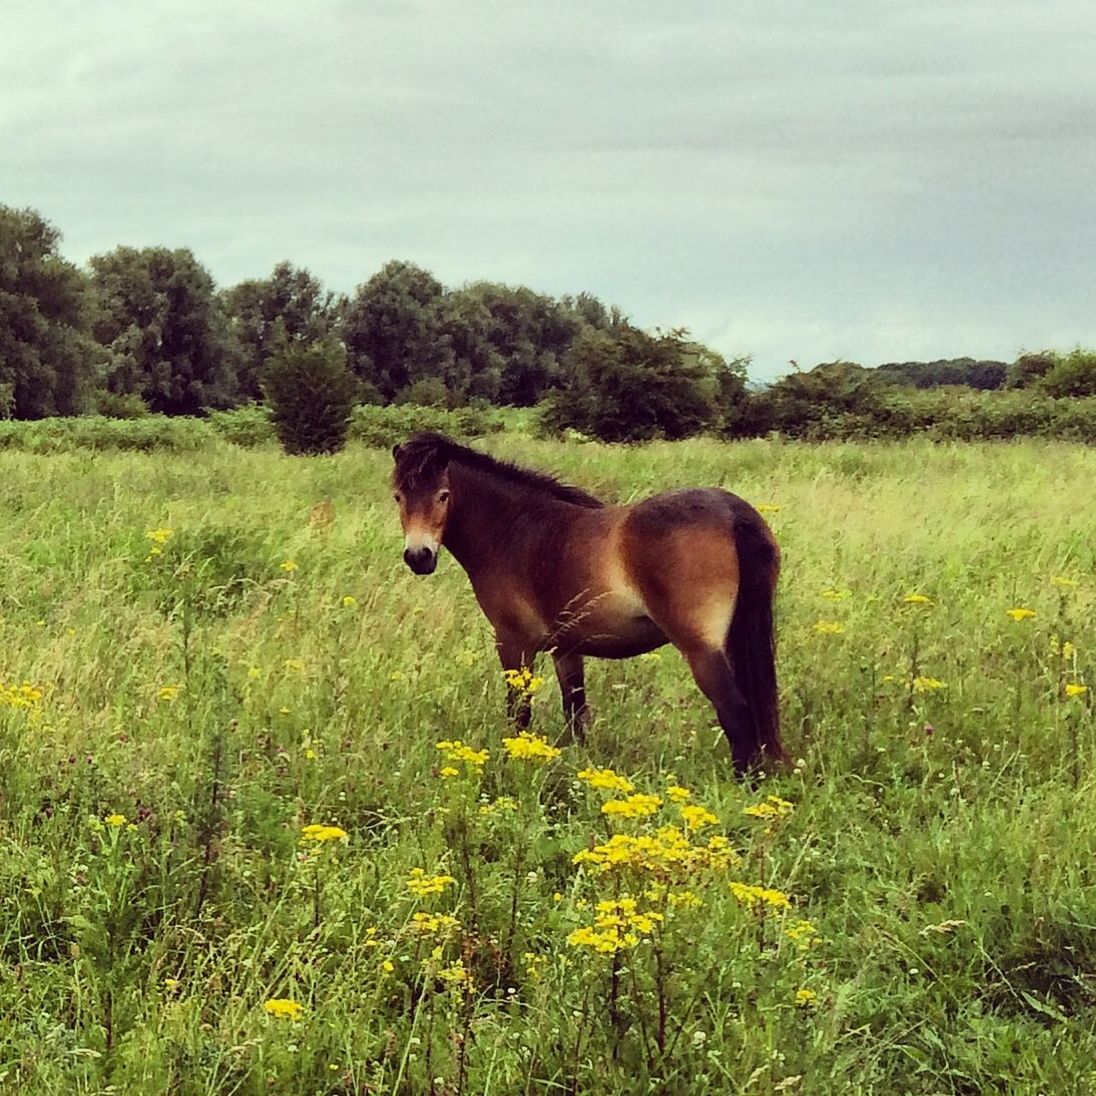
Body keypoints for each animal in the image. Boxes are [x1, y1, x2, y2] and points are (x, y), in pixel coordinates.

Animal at [390, 427, 784, 771]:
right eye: (398, 496)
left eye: (442, 495)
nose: (419, 557)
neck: (514, 530)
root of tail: (730, 512)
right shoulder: (566, 647)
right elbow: (575, 712)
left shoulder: (514, 643)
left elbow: (519, 711)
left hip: (701, 648)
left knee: (735, 711)